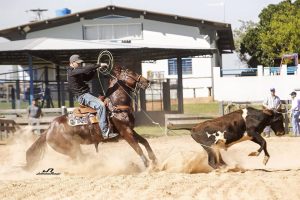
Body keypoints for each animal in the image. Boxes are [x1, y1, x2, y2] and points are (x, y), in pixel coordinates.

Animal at [25, 65, 157, 169]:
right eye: (130, 72)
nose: (147, 81)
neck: (116, 105)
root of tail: (49, 129)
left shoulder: (131, 130)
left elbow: (144, 141)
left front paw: (154, 160)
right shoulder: (125, 132)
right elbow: (137, 148)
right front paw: (148, 165)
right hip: (71, 148)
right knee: (80, 159)